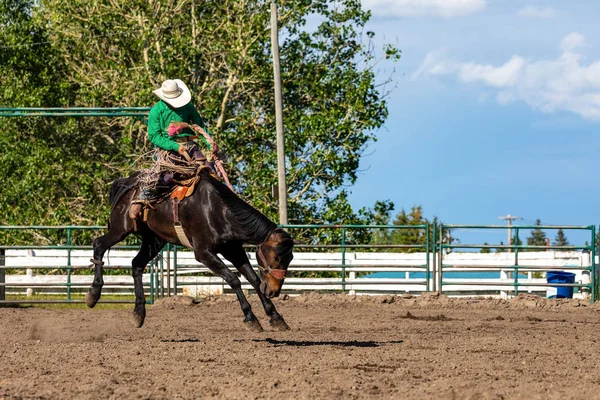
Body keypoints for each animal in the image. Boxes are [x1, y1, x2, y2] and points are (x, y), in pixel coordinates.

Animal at [87, 166, 296, 332]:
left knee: (137, 264)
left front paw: (276, 317)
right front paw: (251, 318)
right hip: (121, 228)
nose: (274, 291)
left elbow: (254, 279)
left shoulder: (233, 250)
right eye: (277, 257)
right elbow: (234, 280)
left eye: (290, 259)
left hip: (154, 239)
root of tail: (125, 183)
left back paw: (139, 313)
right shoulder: (203, 253)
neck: (218, 210)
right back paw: (93, 294)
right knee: (99, 245)